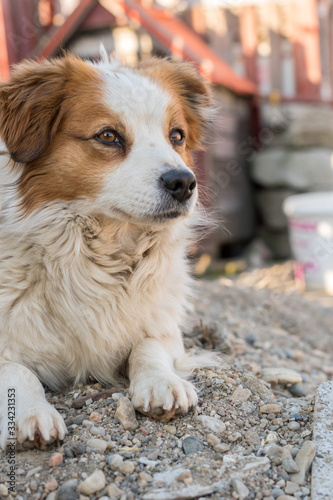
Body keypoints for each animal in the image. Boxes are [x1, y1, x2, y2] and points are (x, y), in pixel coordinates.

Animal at [0, 50, 213, 450]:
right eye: (109, 136)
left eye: (176, 136)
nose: (183, 182)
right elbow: (16, 370)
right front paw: (32, 413)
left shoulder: (163, 325)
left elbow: (148, 345)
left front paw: (162, 381)